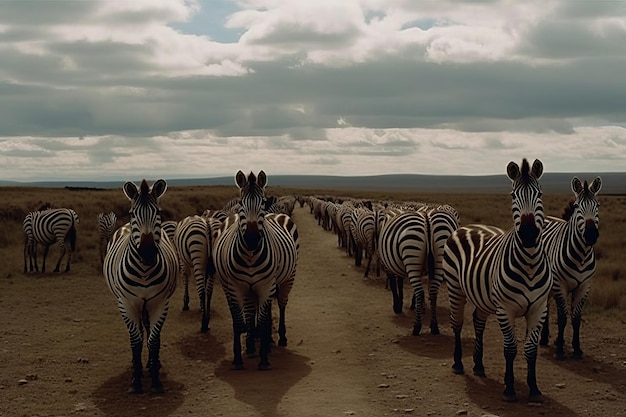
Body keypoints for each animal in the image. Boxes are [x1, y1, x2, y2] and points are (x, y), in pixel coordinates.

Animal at [101, 180, 177, 394]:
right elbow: (135, 341)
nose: (148, 252)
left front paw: (155, 379)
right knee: (140, 332)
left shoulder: (160, 303)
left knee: (149, 331)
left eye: (158, 212)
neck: (144, 270)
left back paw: (152, 363)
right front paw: (135, 381)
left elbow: (154, 340)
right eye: (132, 213)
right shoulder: (126, 304)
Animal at [210, 171, 298, 368]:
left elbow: (263, 321)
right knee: (252, 311)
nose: (251, 239)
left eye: (262, 203)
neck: (250, 255)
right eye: (241, 204)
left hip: (287, 278)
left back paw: (280, 338)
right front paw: (239, 357)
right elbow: (240, 321)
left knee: (282, 304)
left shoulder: (266, 285)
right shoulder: (236, 287)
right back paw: (253, 344)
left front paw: (264, 358)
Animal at [438, 158, 552, 402]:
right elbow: (510, 349)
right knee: (457, 324)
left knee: (478, 321)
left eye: (539, 194)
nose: (529, 234)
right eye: (512, 195)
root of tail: (467, 226)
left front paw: (534, 388)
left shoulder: (539, 308)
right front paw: (509, 389)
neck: (529, 263)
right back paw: (458, 363)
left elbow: (531, 350)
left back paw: (479, 366)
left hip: (483, 298)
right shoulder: (505, 308)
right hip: (455, 288)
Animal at [536, 175, 600, 358]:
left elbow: (576, 318)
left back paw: (547, 338)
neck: (581, 256)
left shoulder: (584, 286)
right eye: (577, 206)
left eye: (598, 205)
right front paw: (559, 350)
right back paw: (545, 339)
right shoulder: (560, 285)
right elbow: (563, 317)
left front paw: (577, 349)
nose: (591, 234)